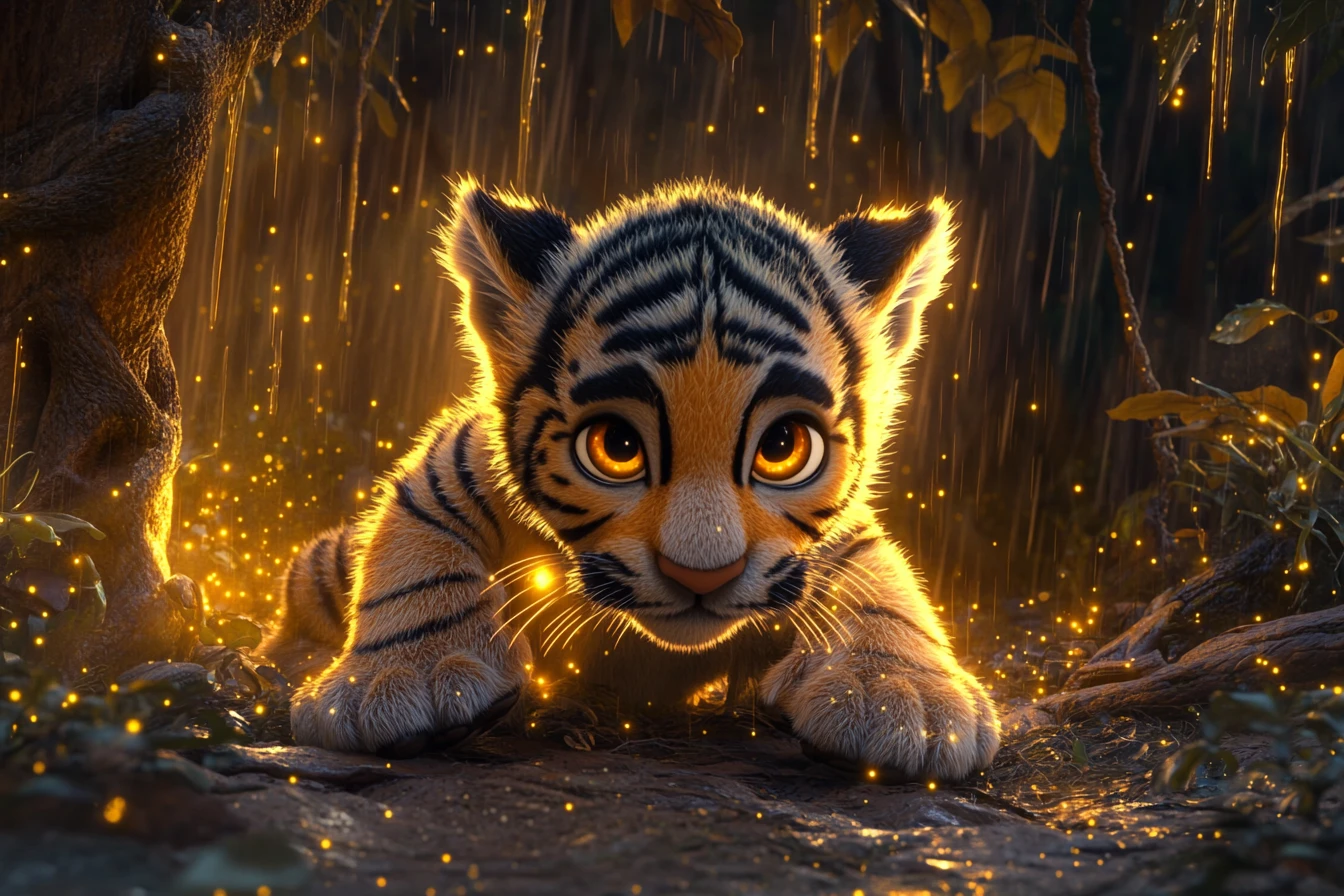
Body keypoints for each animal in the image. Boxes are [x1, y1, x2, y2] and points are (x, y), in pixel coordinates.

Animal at [268, 178, 1000, 780]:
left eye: (783, 447)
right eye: (616, 447)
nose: (703, 575)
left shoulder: (828, 541)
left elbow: (880, 585)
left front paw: (901, 695)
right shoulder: (457, 461)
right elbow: (417, 542)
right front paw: (403, 676)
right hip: (321, 566)